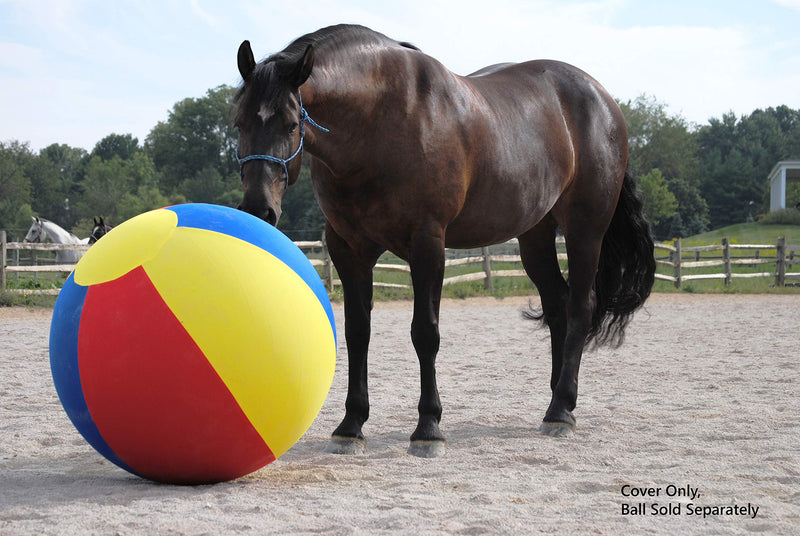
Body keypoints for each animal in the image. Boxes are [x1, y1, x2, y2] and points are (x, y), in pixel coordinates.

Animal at [233, 25, 656, 458]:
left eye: (289, 124)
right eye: (239, 124)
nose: (259, 209)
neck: (379, 124)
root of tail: (604, 100)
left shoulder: (428, 243)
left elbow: (425, 333)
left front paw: (428, 427)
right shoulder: (349, 249)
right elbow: (357, 333)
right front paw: (351, 426)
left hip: (585, 231)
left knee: (579, 307)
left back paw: (562, 411)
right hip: (536, 236)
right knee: (557, 306)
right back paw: (556, 400)